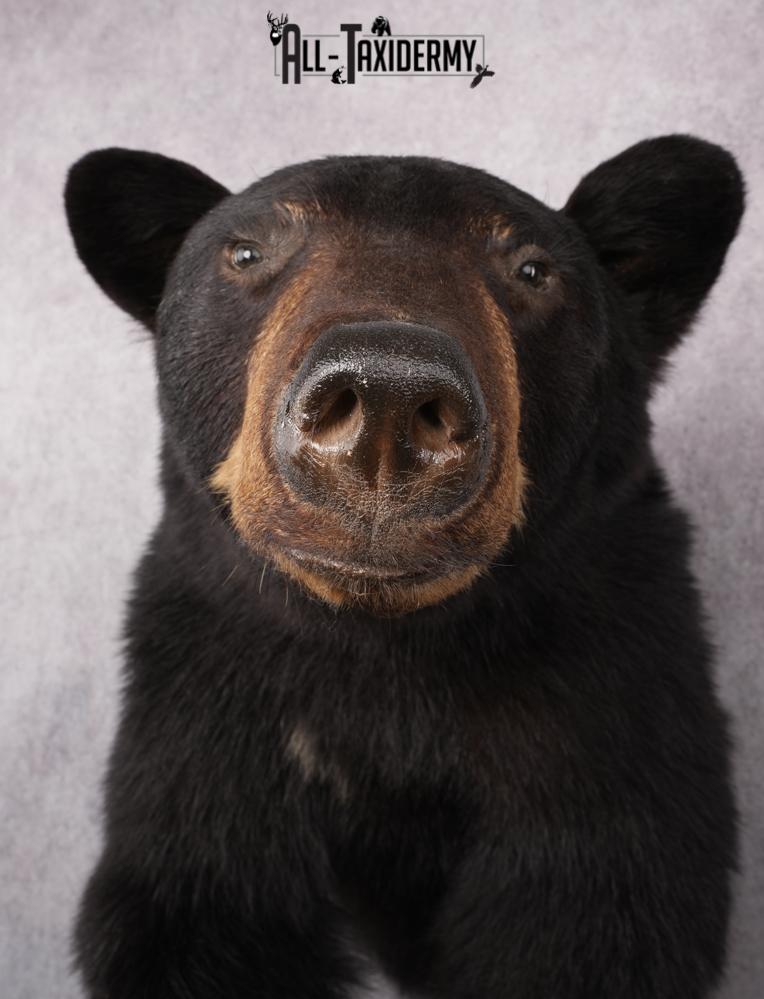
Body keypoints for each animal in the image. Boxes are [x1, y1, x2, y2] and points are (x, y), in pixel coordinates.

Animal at [64, 135, 744, 999]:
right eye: (247, 252)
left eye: (531, 269)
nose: (386, 395)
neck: (389, 645)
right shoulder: (212, 705)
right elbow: (199, 912)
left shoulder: (605, 700)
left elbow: (593, 917)